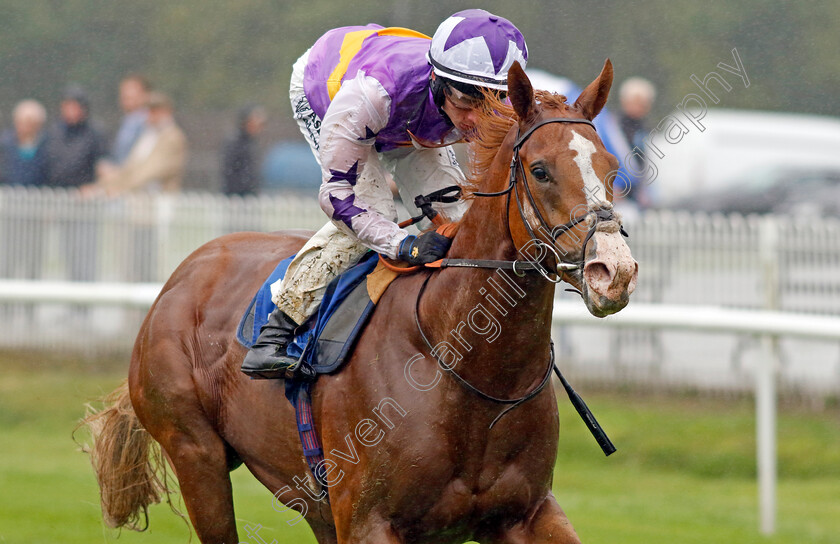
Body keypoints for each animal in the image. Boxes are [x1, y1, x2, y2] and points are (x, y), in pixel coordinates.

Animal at [85, 61, 636, 540]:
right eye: (540, 170)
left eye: (612, 167)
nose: (614, 271)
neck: (467, 368)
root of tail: (182, 274)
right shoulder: (369, 519)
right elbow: (344, 197)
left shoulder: (526, 513)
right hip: (196, 454)